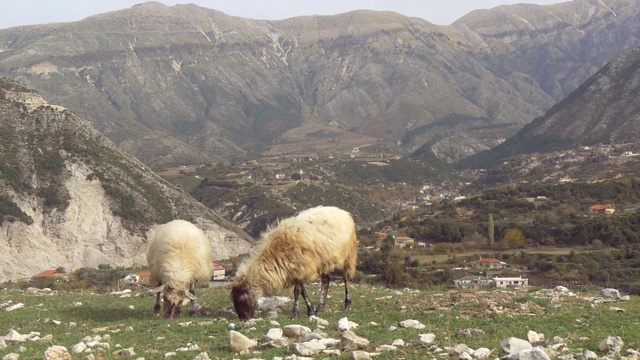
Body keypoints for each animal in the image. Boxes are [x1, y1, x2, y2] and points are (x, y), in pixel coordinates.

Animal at [231, 205, 360, 320]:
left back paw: (347, 304)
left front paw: (295, 313)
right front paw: (311, 310)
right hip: (325, 260)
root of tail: (342, 211)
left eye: (241, 298)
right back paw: (320, 307)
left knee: (346, 278)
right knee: (326, 281)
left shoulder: (301, 267)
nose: (243, 319)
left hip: (349, 254)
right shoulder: (295, 270)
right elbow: (302, 291)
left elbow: (297, 291)